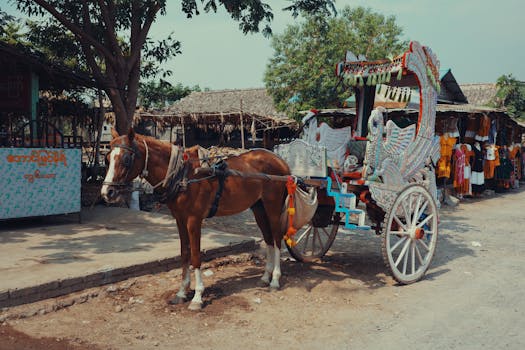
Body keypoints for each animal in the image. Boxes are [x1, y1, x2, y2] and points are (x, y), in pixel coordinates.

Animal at [101, 130, 290, 310]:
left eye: (126, 159)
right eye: (107, 158)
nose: (107, 192)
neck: (184, 176)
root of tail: (280, 161)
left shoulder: (194, 220)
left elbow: (195, 256)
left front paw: (197, 297)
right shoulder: (179, 219)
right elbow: (184, 253)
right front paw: (182, 292)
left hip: (272, 207)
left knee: (277, 238)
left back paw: (275, 279)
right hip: (259, 208)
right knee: (268, 238)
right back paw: (265, 277)